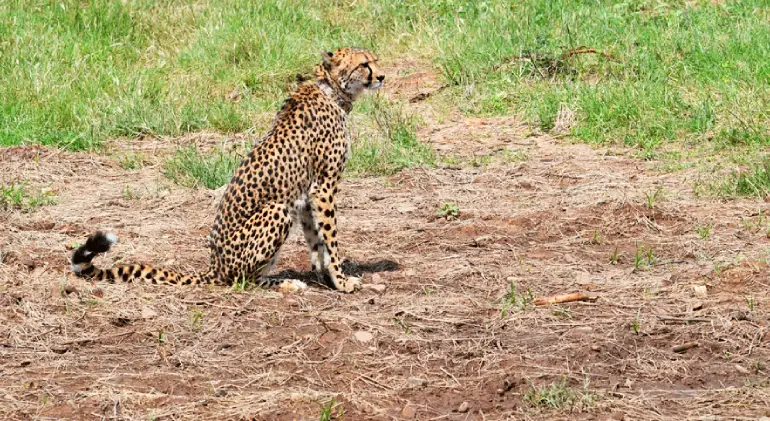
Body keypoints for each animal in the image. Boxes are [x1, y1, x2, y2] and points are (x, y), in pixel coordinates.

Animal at [70, 47, 384, 292]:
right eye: (364, 64)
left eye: (375, 61)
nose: (381, 76)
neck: (331, 90)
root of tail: (214, 266)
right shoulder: (323, 187)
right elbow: (330, 238)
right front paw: (342, 281)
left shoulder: (306, 196)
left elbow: (316, 241)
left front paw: (326, 277)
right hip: (276, 210)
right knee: (242, 280)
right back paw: (284, 283)